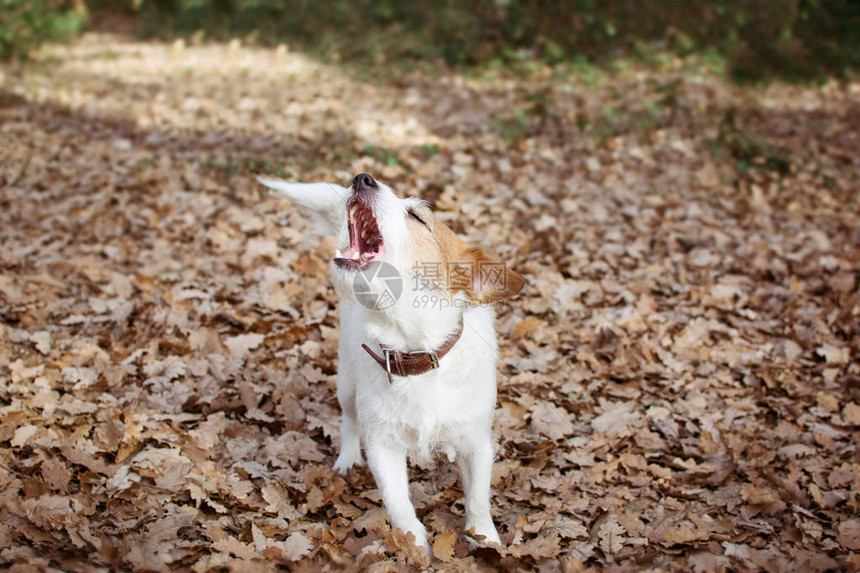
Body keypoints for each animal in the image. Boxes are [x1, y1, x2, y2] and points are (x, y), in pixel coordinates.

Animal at [256, 171, 524, 556]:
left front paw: (484, 538)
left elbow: (477, 498)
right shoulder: (383, 446)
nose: (361, 177)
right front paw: (413, 546)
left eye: (416, 216)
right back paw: (347, 459)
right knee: (349, 422)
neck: (417, 353)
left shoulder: (477, 443)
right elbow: (398, 503)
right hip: (346, 386)